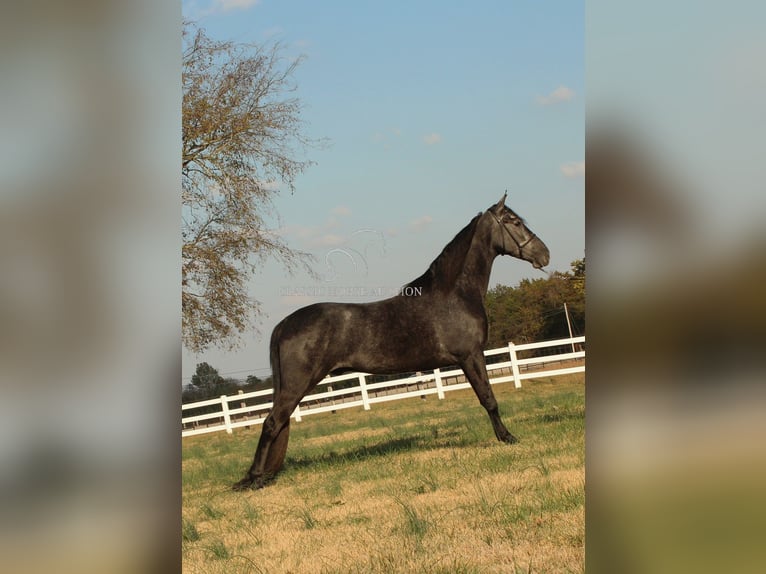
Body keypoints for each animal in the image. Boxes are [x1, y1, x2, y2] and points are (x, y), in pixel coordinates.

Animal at [231, 195, 548, 490]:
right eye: (514, 222)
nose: (544, 254)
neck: (454, 294)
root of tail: (284, 323)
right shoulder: (471, 355)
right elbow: (488, 399)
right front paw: (507, 437)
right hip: (297, 384)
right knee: (272, 422)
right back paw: (254, 478)